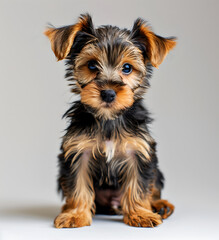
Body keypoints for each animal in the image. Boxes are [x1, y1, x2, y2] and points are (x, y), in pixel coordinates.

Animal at [44, 13, 176, 229]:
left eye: (127, 68)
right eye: (91, 65)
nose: (108, 93)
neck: (108, 118)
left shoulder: (139, 150)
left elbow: (139, 184)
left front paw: (140, 214)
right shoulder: (78, 151)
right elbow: (77, 184)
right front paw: (75, 215)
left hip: (156, 170)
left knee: (154, 184)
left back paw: (160, 205)